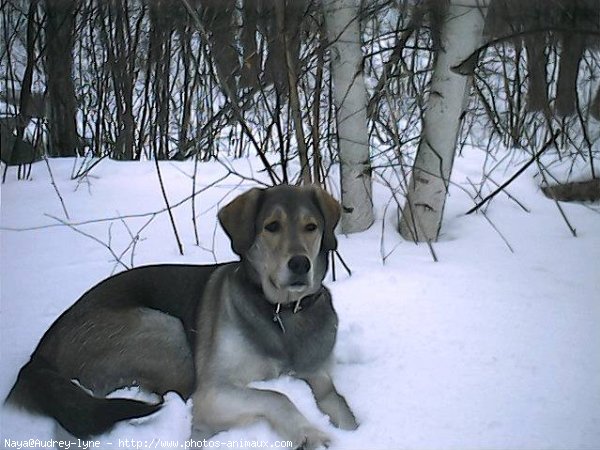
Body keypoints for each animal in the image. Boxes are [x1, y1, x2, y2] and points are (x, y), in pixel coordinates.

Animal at [5, 185, 356, 448]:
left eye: (311, 227)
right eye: (272, 226)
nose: (300, 264)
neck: (283, 313)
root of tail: (39, 354)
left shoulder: (318, 375)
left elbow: (339, 403)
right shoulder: (213, 391)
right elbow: (276, 396)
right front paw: (309, 433)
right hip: (165, 330)